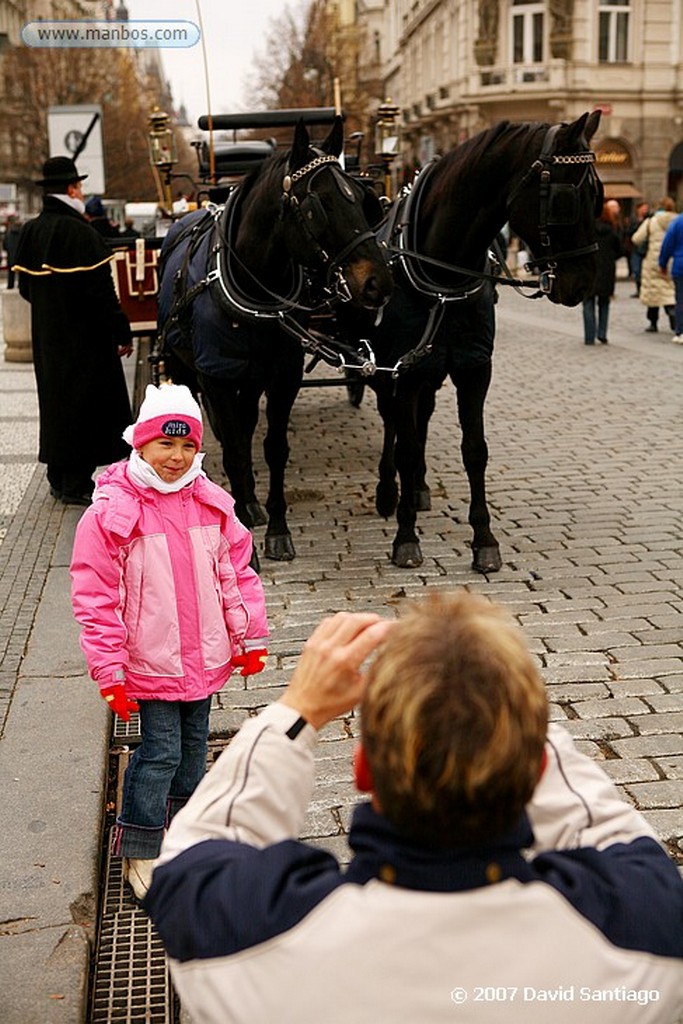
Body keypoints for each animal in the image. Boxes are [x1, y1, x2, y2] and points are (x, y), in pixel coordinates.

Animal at [156, 117, 389, 561]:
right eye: (319, 205)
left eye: (363, 200)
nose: (376, 283)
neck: (255, 290)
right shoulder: (217, 376)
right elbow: (232, 448)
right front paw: (241, 537)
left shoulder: (281, 378)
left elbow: (272, 448)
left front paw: (277, 528)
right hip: (187, 370)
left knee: (246, 429)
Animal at [337, 114, 602, 577]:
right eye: (568, 199)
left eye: (599, 194)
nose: (585, 284)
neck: (445, 275)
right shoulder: (402, 371)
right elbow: (406, 446)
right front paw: (405, 536)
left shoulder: (473, 368)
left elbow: (474, 450)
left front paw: (484, 539)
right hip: (387, 370)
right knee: (393, 426)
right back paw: (390, 491)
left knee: (419, 421)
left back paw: (418, 488)